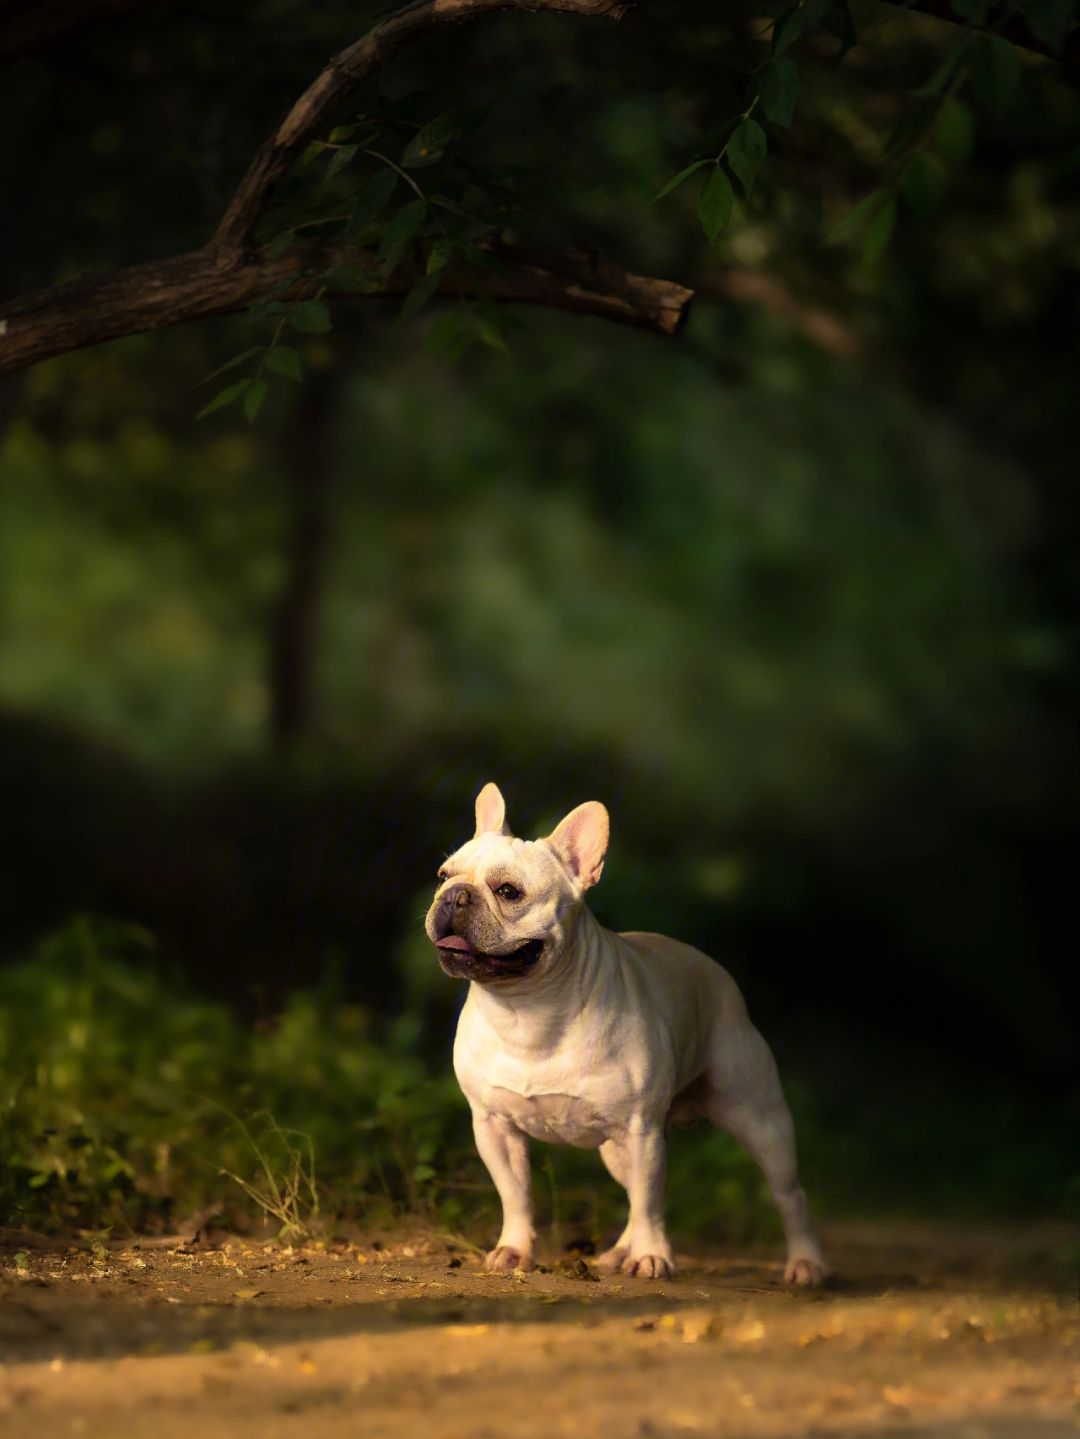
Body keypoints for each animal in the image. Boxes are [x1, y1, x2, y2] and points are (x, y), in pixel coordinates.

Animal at [425, 782, 828, 1289]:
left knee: (788, 1195)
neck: (527, 1008)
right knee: (637, 1197)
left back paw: (806, 1263)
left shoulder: (641, 1129)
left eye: (508, 891)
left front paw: (653, 1256)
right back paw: (620, 1253)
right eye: (442, 875)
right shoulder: (494, 1126)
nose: (454, 896)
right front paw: (515, 1250)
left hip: (758, 1119)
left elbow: (650, 1203)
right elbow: (516, 1195)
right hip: (619, 1149)